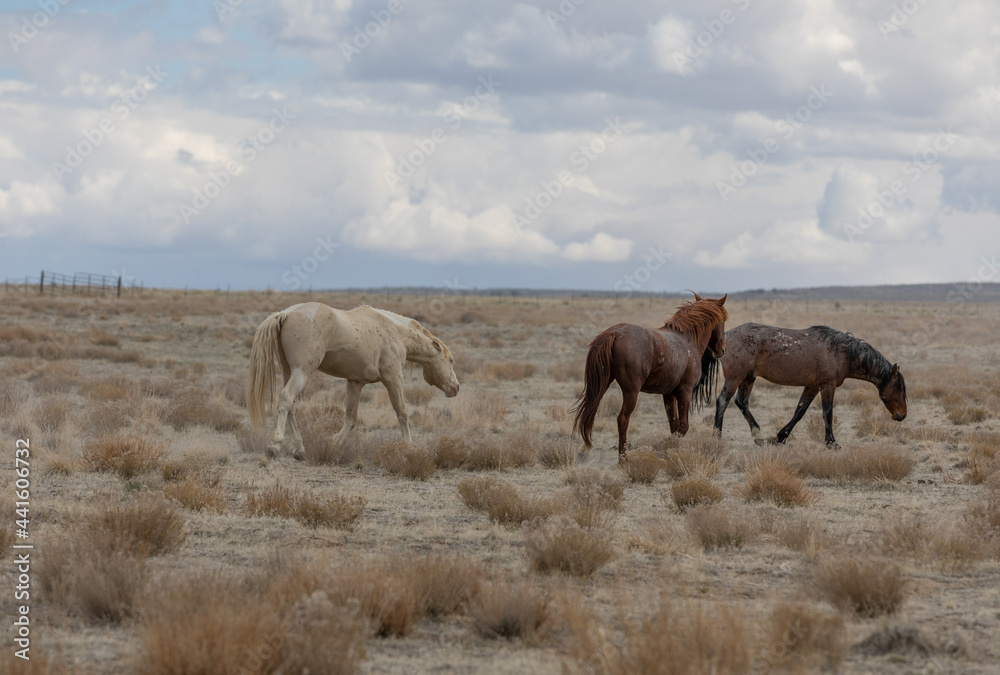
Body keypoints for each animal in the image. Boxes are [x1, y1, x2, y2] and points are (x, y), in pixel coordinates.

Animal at [248, 304, 458, 460]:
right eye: (450, 360)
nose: (455, 387)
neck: (394, 332)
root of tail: (286, 314)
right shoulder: (393, 377)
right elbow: (402, 413)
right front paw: (409, 446)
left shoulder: (355, 382)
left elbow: (351, 419)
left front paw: (333, 444)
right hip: (301, 372)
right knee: (286, 398)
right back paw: (274, 445)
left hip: (289, 371)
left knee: (290, 404)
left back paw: (299, 449)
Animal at [572, 294, 728, 462]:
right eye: (723, 320)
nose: (722, 350)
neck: (687, 339)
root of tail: (614, 333)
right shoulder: (685, 392)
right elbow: (683, 427)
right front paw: (660, 447)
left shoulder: (669, 394)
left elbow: (674, 426)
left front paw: (671, 452)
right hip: (631, 392)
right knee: (622, 419)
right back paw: (623, 458)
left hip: (602, 385)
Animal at [712, 324, 908, 446]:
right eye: (899, 388)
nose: (902, 415)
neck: (841, 352)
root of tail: (726, 337)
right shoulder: (827, 386)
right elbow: (827, 413)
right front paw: (831, 442)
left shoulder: (812, 387)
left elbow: (799, 412)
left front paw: (780, 438)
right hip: (735, 378)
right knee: (722, 401)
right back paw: (717, 437)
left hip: (748, 378)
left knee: (742, 402)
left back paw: (758, 435)